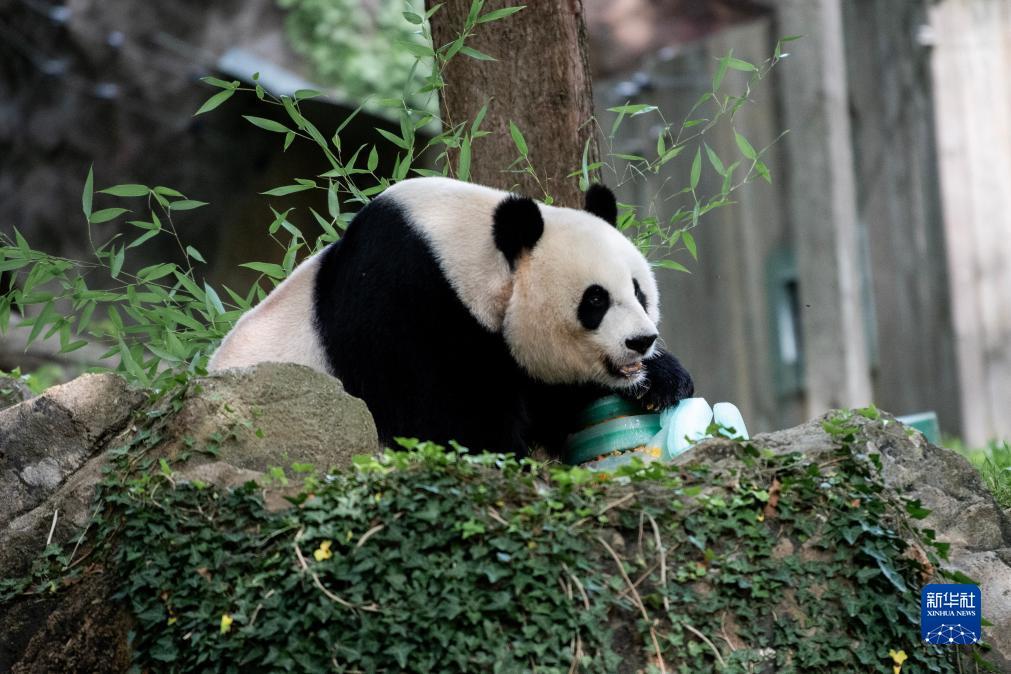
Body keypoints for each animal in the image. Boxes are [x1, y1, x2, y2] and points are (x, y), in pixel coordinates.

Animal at [208, 176, 691, 456]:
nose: (641, 341)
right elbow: (440, 422)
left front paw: (663, 382)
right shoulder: (403, 304)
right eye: (595, 301)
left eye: (639, 291)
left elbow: (547, 398)